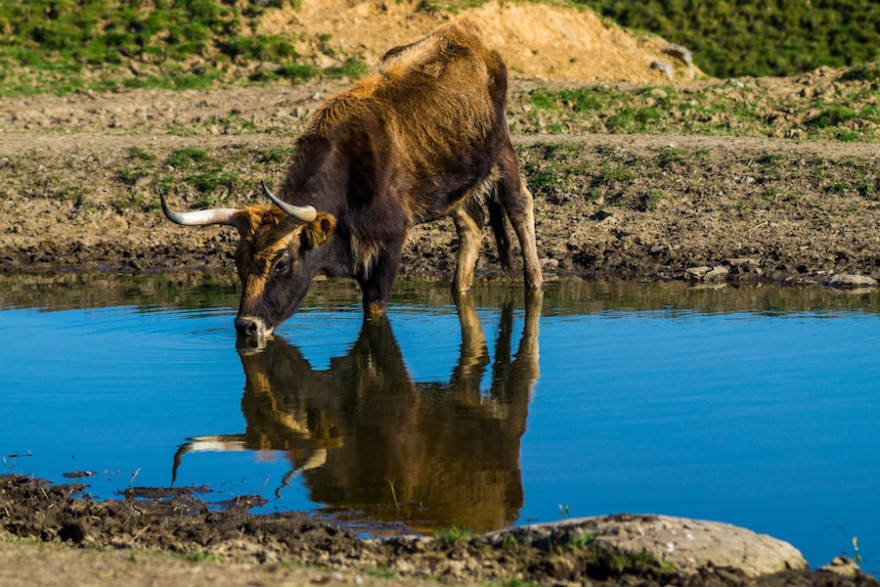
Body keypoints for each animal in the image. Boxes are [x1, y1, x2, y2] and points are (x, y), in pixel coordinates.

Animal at [161, 18, 540, 338]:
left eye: (281, 264)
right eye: (238, 263)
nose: (246, 326)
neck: (349, 167)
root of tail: (464, 32)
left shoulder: (389, 243)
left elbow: (374, 307)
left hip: (502, 151)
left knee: (520, 206)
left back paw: (535, 284)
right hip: (453, 180)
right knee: (471, 223)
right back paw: (459, 287)